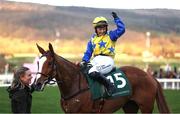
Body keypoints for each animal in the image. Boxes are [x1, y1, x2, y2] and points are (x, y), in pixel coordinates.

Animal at [34, 43, 169, 113]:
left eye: (50, 63)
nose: (36, 84)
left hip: (146, 106)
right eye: (38, 62)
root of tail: (150, 76)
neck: (74, 84)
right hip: (130, 106)